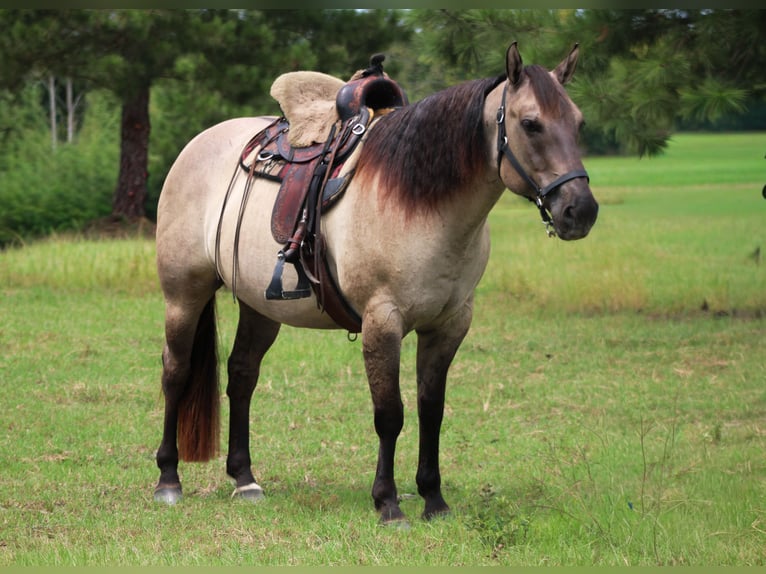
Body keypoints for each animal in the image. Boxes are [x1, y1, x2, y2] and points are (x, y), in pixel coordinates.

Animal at [152, 42, 598, 525]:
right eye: (531, 124)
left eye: (579, 123)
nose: (581, 210)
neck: (421, 203)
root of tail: (197, 145)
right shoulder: (382, 322)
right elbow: (390, 414)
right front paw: (388, 502)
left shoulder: (448, 325)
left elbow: (431, 410)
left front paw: (433, 499)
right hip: (184, 295)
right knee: (176, 372)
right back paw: (168, 480)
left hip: (261, 307)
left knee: (242, 375)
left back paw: (245, 479)